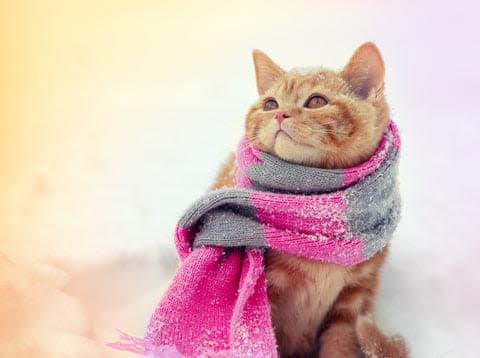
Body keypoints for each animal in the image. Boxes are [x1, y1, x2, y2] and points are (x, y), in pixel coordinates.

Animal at [212, 42, 406, 358]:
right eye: (270, 104)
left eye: (316, 101)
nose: (280, 115)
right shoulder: (266, 300)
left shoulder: (354, 298)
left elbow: (340, 344)